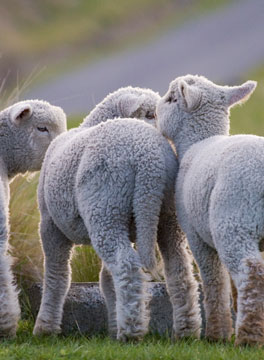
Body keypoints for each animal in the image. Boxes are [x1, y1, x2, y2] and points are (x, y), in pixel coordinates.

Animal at [33, 86, 200, 340]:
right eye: (150, 113)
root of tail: (149, 159)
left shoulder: (51, 225)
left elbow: (56, 276)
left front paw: (45, 328)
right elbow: (107, 280)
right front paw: (112, 323)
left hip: (105, 208)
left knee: (126, 266)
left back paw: (131, 331)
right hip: (164, 214)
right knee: (178, 267)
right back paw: (186, 329)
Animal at [156, 75, 264, 346]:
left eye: (171, 99)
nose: (154, 111)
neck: (197, 142)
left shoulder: (196, 235)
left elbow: (213, 279)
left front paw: (218, 334)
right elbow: (231, 284)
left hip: (233, 221)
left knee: (251, 273)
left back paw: (248, 338)